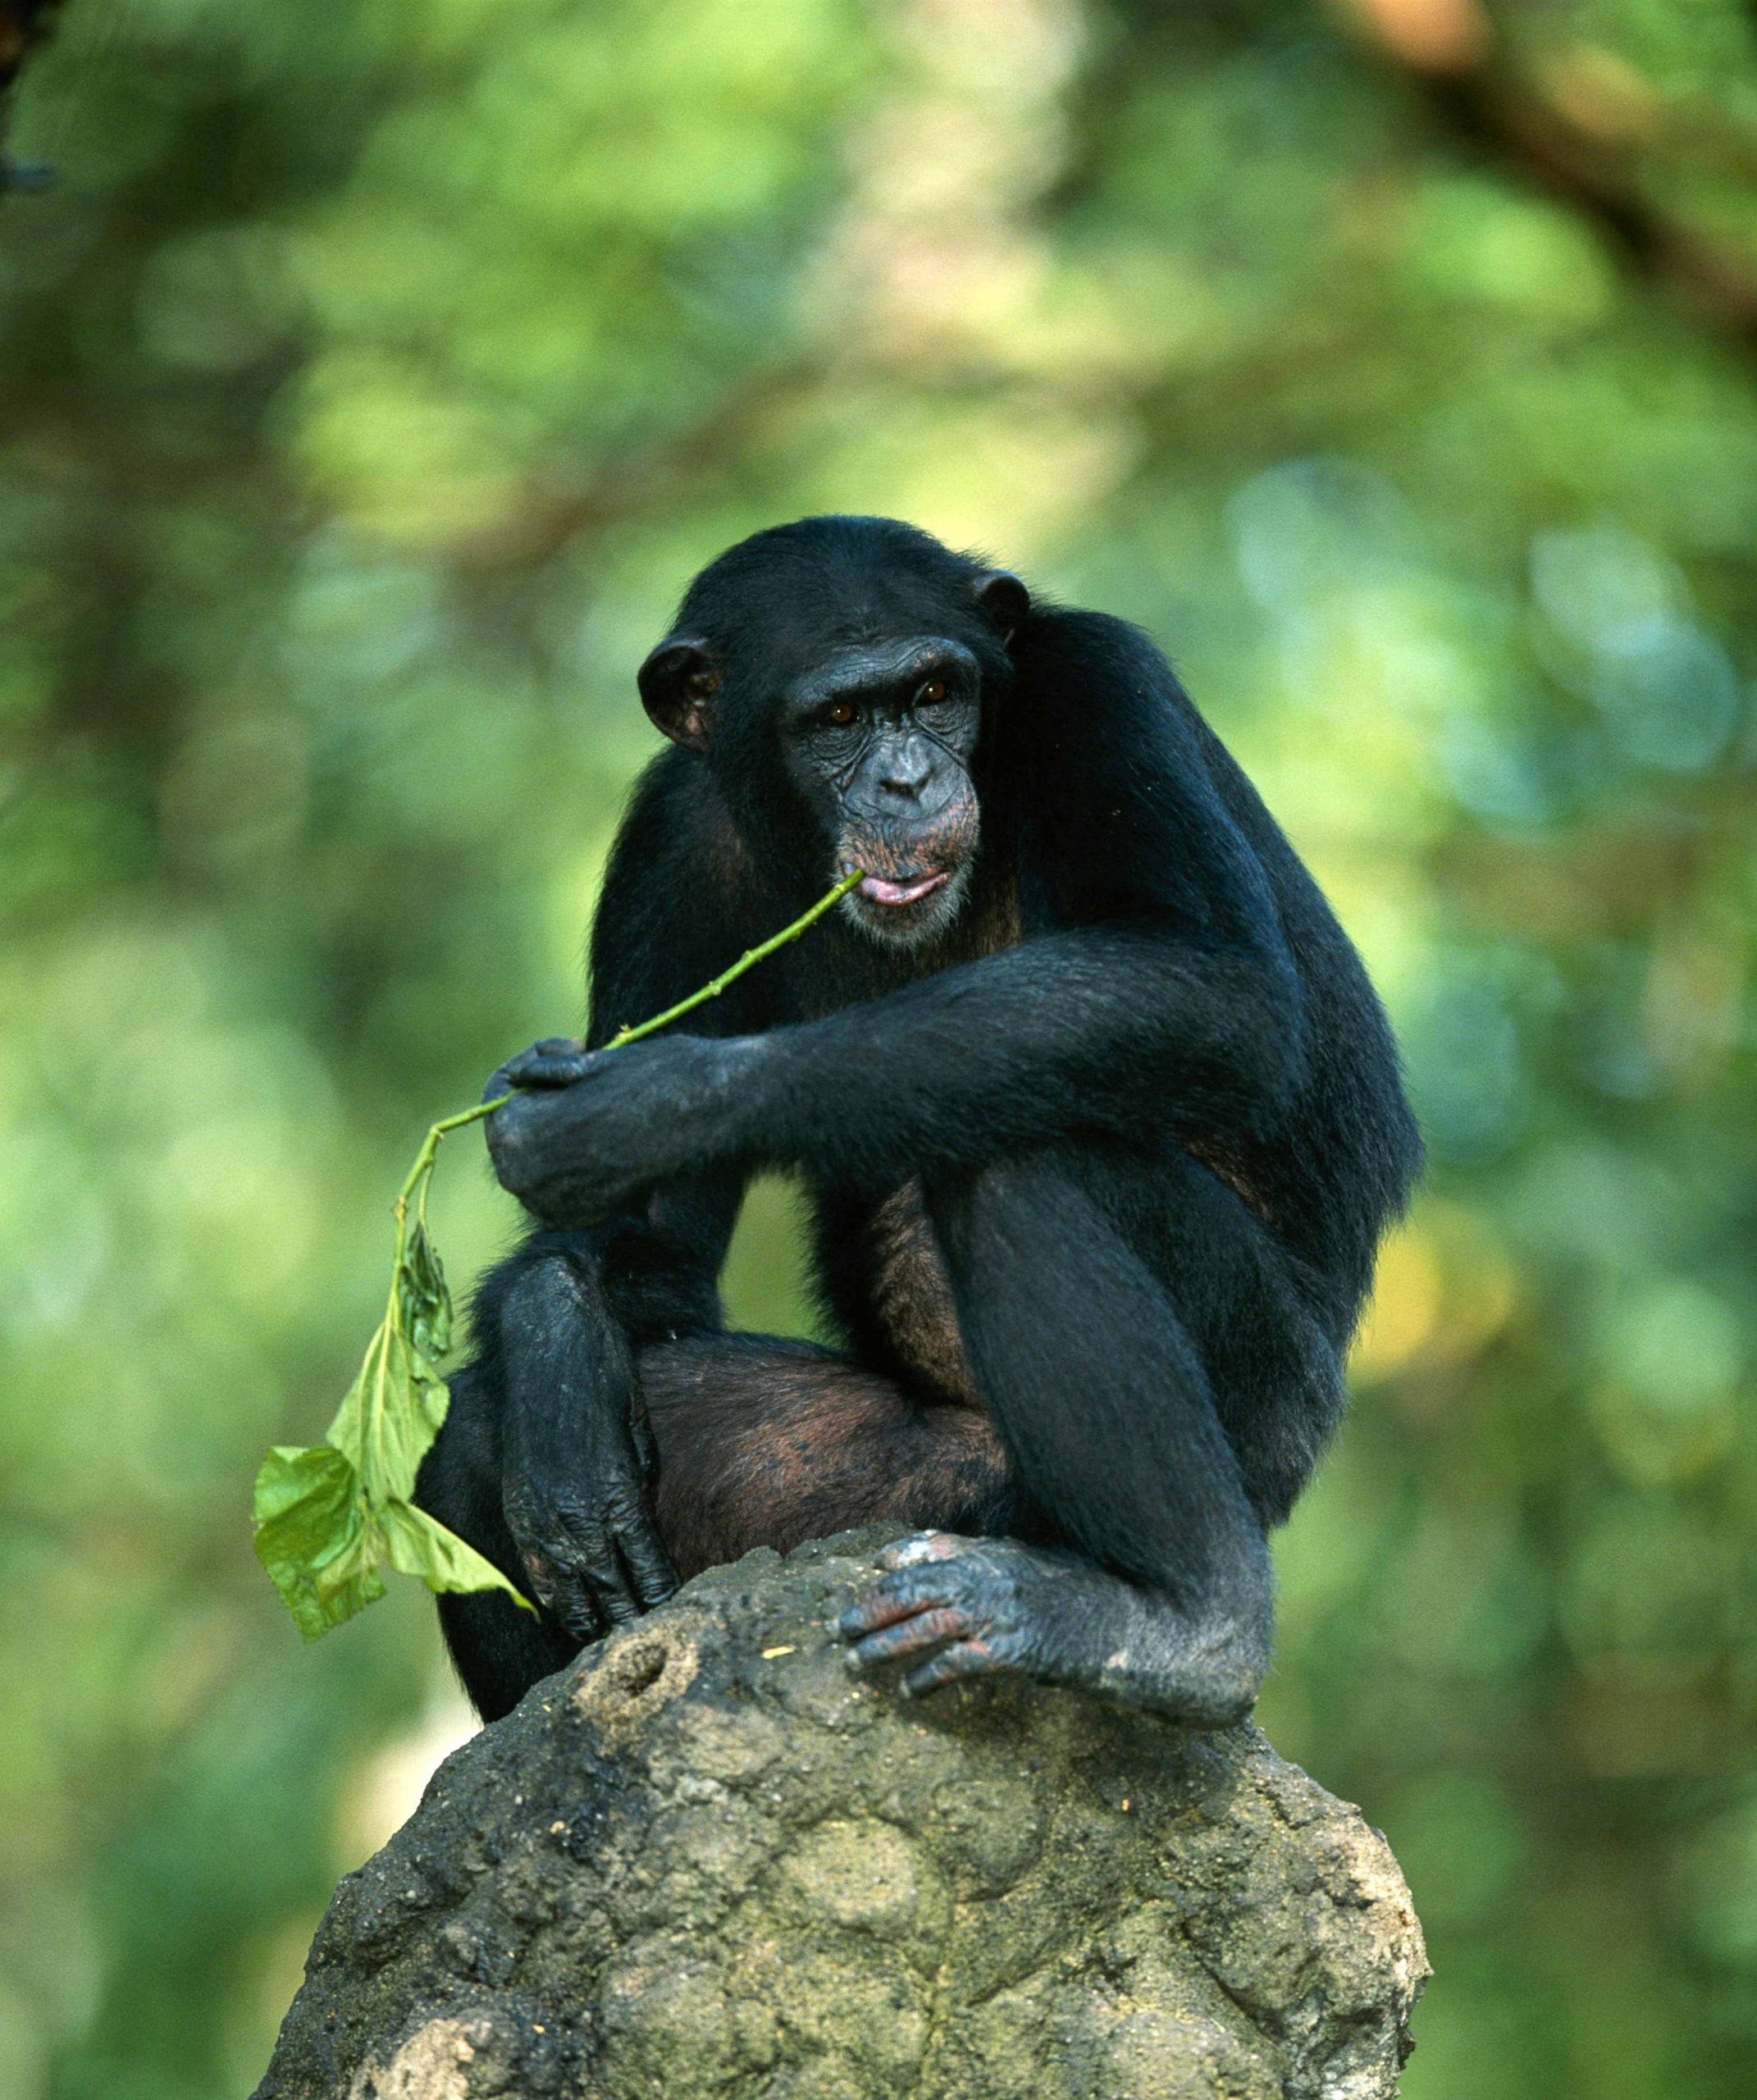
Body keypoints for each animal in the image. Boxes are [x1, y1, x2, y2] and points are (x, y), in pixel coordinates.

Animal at [418, 512, 1418, 1722]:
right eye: (840, 719)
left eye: (935, 692)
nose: (905, 777)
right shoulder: (667, 840)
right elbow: (648, 1248)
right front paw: (557, 1341)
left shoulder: (1103, 686)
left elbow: (1215, 986)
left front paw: (651, 1104)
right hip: (894, 1503)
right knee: (472, 1442)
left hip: (1271, 1412)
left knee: (1028, 1159)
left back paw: (1176, 1627)